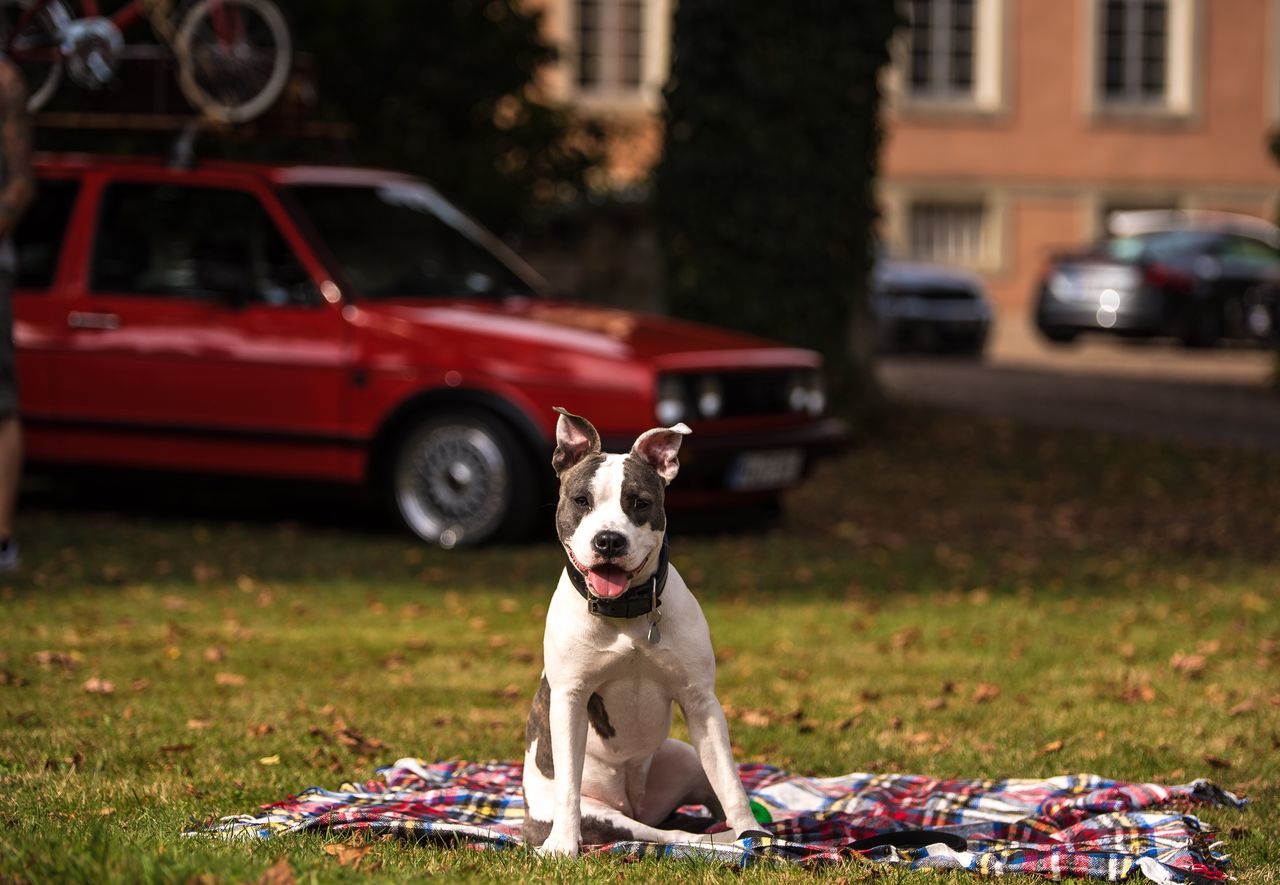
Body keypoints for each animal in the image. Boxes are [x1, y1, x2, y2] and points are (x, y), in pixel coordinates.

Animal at [519, 407, 757, 860]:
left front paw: (757, 834)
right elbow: (569, 784)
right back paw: (711, 839)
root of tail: (636, 805)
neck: (625, 611)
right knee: (664, 833)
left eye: (639, 503)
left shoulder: (701, 702)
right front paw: (562, 845)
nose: (608, 540)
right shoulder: (570, 699)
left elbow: (731, 781)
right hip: (609, 816)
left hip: (683, 755)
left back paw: (732, 833)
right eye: (581, 501)